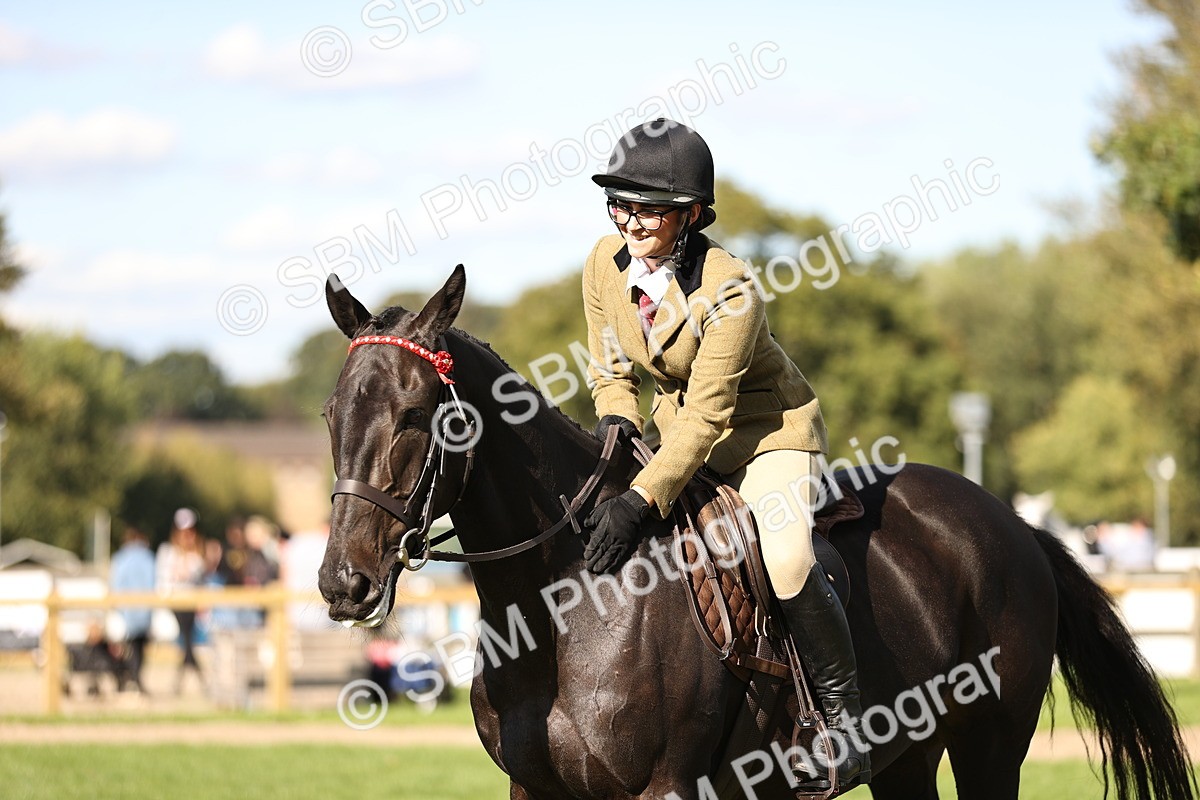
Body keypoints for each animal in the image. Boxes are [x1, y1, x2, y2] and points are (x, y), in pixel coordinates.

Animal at [316, 266, 1195, 800]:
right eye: (331, 413)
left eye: (417, 415)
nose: (342, 583)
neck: (563, 608)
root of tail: (1007, 521)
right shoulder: (535, 788)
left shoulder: (663, 787)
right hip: (910, 755)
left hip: (990, 746)